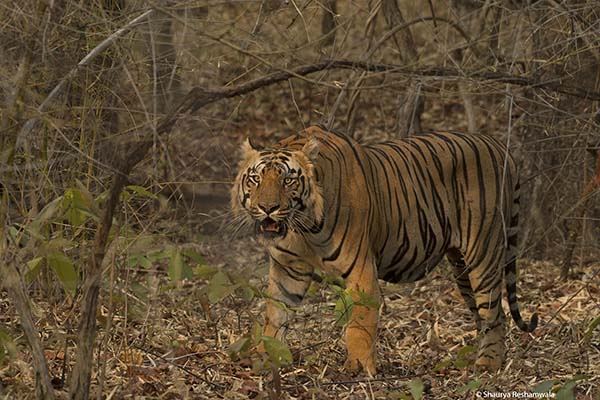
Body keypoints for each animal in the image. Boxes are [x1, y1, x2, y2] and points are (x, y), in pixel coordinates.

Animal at [231, 125, 540, 376]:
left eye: (288, 181)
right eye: (255, 179)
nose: (267, 208)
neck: (303, 228)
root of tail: (499, 146)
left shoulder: (361, 273)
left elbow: (359, 325)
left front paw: (357, 368)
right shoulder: (287, 270)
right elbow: (275, 315)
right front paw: (265, 356)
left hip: (483, 254)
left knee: (495, 315)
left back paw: (487, 365)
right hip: (461, 266)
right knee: (481, 315)